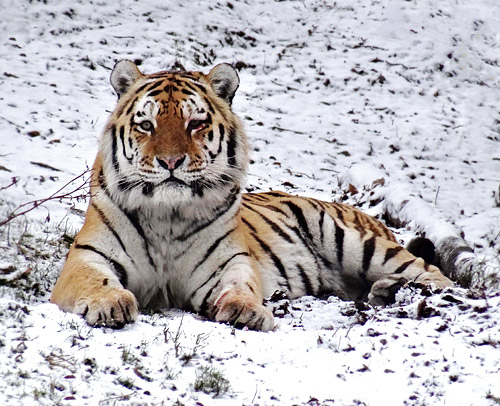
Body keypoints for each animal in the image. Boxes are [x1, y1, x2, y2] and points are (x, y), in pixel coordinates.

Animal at [49, 61, 454, 332]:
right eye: (146, 125)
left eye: (196, 123)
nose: (170, 162)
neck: (167, 213)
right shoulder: (86, 258)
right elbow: (96, 281)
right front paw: (109, 302)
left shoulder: (228, 262)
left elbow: (240, 285)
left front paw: (245, 309)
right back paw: (383, 292)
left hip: (356, 243)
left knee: (433, 273)